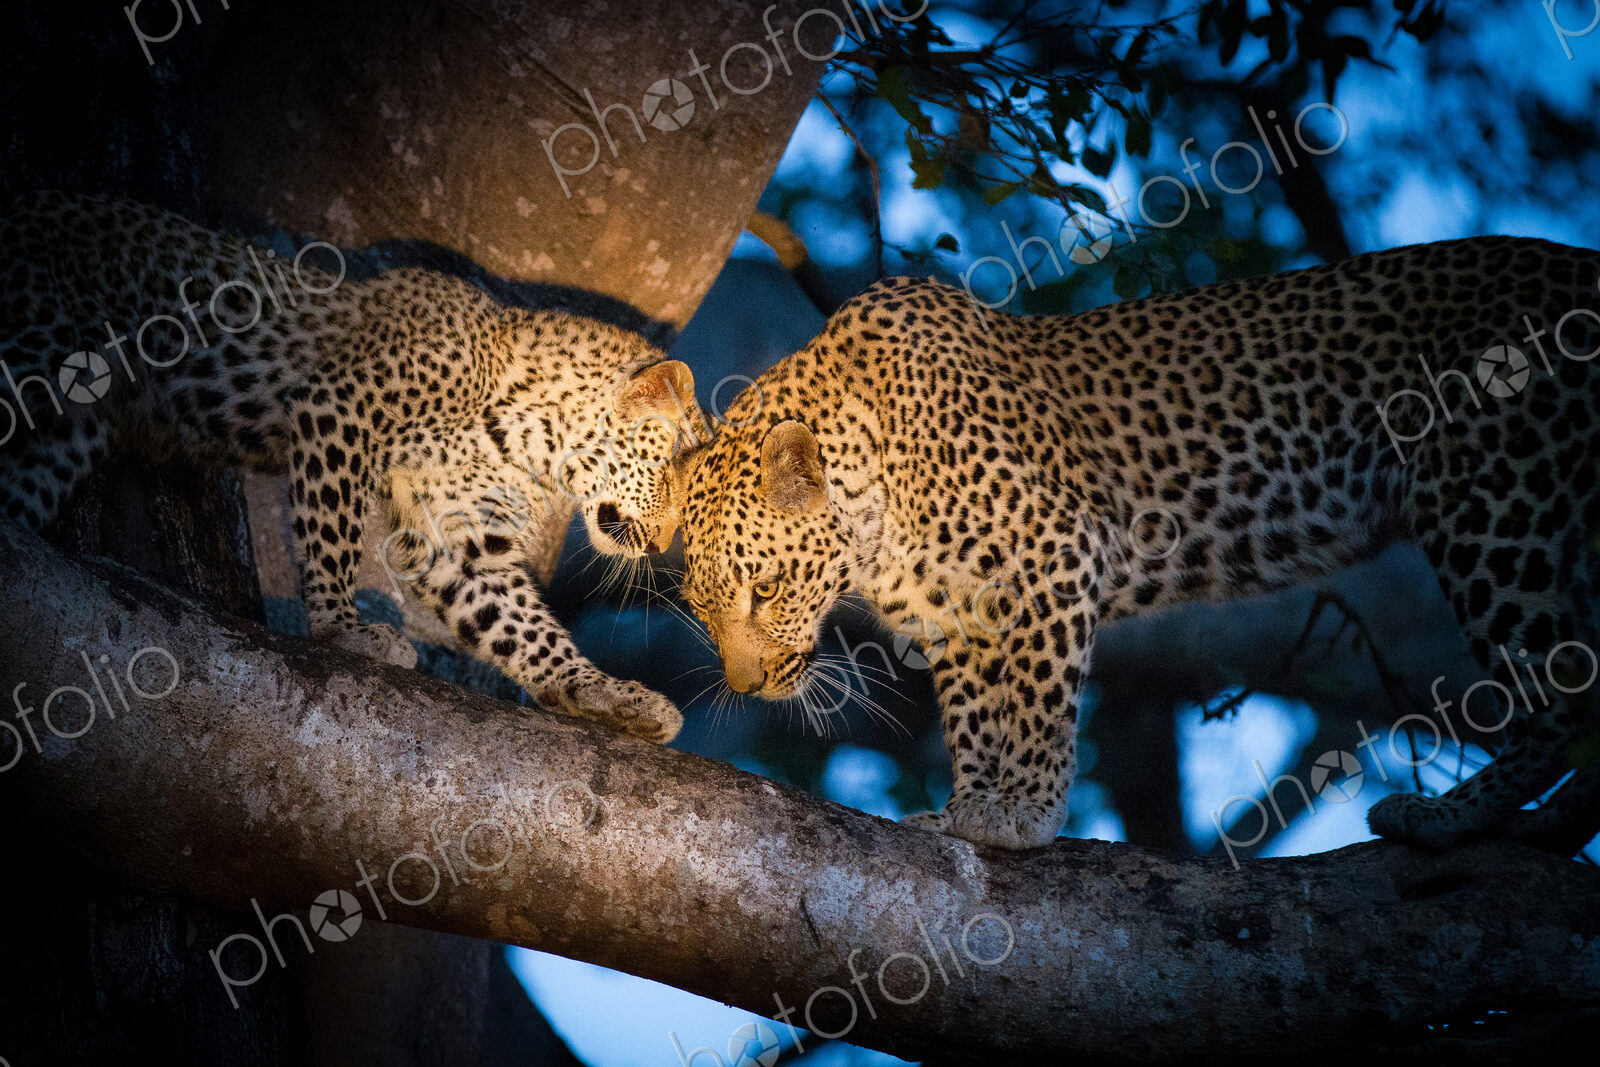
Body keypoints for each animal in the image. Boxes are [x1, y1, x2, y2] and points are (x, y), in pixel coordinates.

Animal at [0, 190, 704, 743]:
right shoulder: (338, 408)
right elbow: (331, 531)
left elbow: (520, 625)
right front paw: (341, 630)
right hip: (41, 357)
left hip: (67, 435)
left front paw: (607, 693)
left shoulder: (454, 532)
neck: (528, 431)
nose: (665, 541)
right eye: (671, 470)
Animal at [673, 236, 1600, 851]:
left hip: (1493, 502)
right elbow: (973, 717)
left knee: (1566, 684)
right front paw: (969, 804)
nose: (745, 684)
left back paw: (1450, 815)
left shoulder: (1053, 555)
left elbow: (1035, 705)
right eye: (705, 611)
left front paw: (1024, 813)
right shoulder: (960, 617)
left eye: (765, 588)